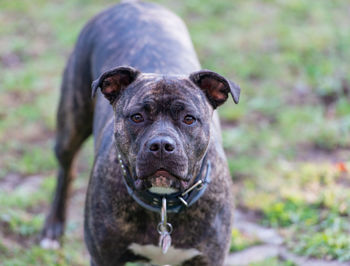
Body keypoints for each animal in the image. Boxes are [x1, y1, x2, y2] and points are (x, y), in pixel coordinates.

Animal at [39, 1, 241, 264]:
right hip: (70, 124)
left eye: (189, 119)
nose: (162, 145)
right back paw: (53, 228)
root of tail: (132, 4)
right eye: (137, 117)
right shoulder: (103, 257)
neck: (163, 201)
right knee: (66, 169)